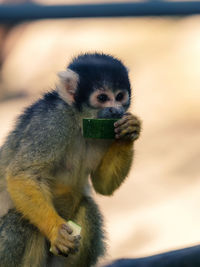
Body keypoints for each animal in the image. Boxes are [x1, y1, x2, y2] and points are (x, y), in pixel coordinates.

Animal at [0, 52, 141, 267]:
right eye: (102, 98)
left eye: (119, 96)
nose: (116, 111)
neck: (79, 120)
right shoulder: (52, 120)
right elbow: (23, 174)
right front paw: (56, 231)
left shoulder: (106, 128)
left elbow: (102, 185)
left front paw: (129, 130)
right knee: (21, 220)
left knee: (87, 206)